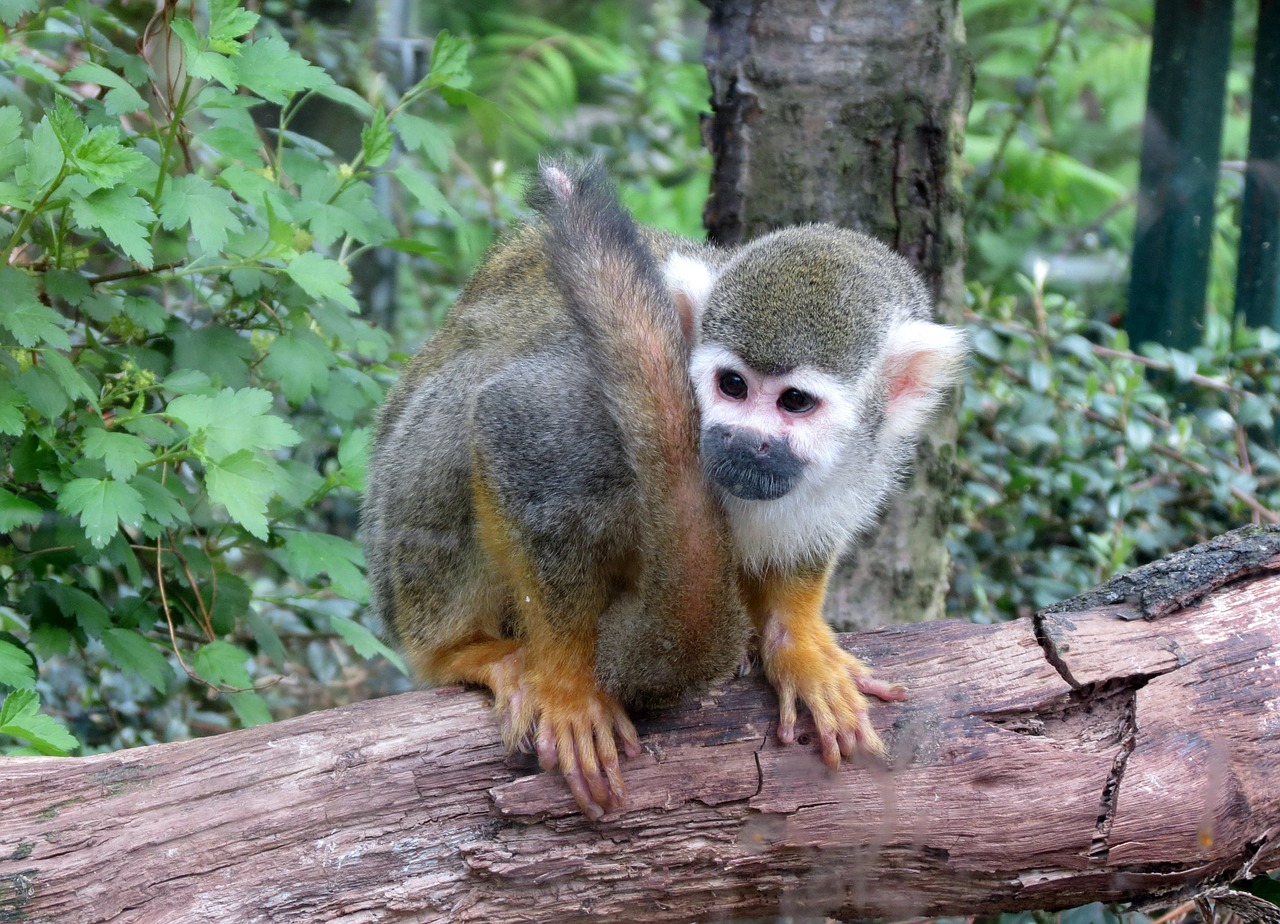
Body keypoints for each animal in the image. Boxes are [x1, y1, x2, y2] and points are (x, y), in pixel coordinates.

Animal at [366, 156, 962, 813]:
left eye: (795, 403)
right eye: (732, 385)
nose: (741, 440)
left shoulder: (866, 461)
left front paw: (800, 646)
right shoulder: (592, 406)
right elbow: (512, 421)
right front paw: (569, 683)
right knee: (463, 401)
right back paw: (455, 650)